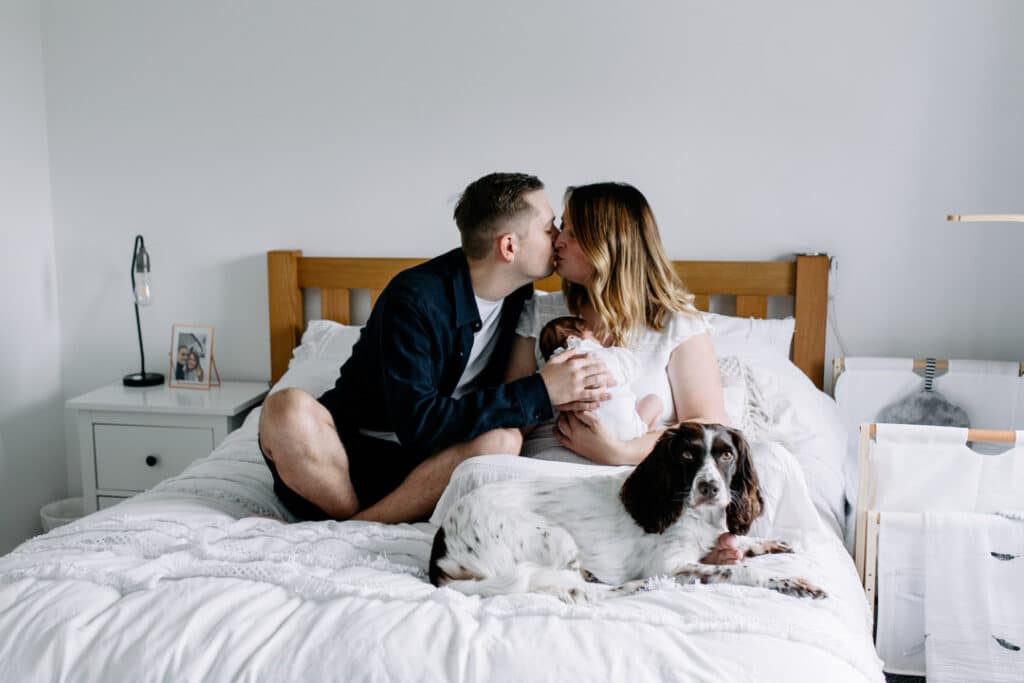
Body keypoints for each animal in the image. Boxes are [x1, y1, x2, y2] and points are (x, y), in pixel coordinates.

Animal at [428, 421, 827, 602]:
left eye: (727, 454)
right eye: (687, 454)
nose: (710, 489)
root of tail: (443, 543)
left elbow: (735, 544)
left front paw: (767, 543)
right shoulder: (671, 563)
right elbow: (736, 571)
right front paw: (789, 582)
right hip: (555, 537)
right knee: (581, 593)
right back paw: (637, 586)